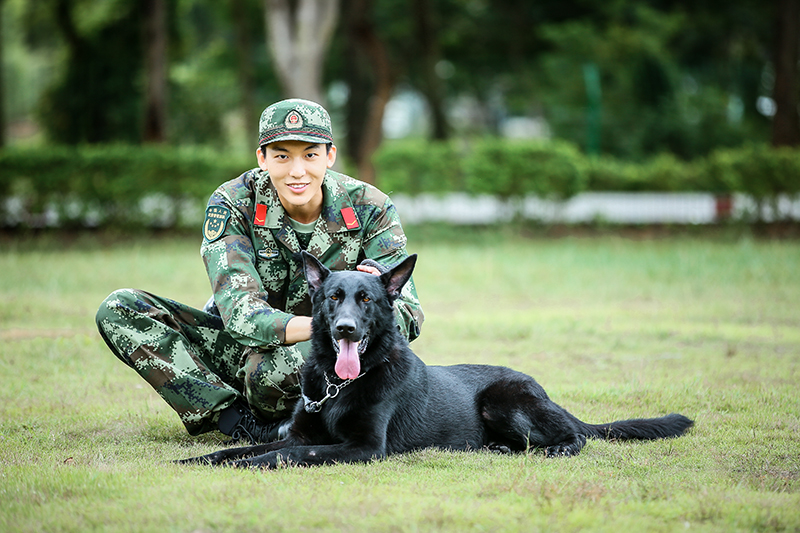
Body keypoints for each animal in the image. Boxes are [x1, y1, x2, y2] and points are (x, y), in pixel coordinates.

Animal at [178, 252, 692, 466]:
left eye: (366, 300)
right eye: (333, 297)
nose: (345, 329)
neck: (340, 386)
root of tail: (540, 388)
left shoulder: (365, 448)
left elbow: (292, 452)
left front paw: (256, 464)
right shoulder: (302, 431)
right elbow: (245, 448)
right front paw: (205, 459)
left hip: (503, 401)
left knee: (575, 437)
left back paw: (558, 448)